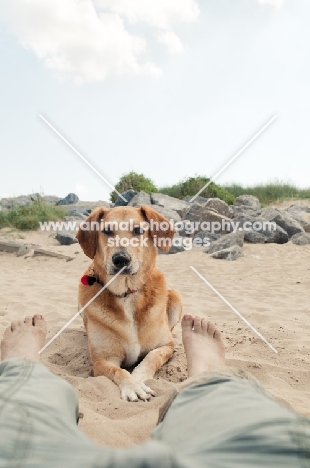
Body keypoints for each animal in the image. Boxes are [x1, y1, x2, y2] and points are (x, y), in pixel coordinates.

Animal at [76, 206, 182, 402]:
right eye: (107, 231)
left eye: (138, 230)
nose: (121, 259)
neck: (126, 294)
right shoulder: (103, 360)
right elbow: (119, 371)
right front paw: (133, 386)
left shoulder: (166, 346)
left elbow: (151, 358)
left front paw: (138, 379)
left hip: (176, 298)